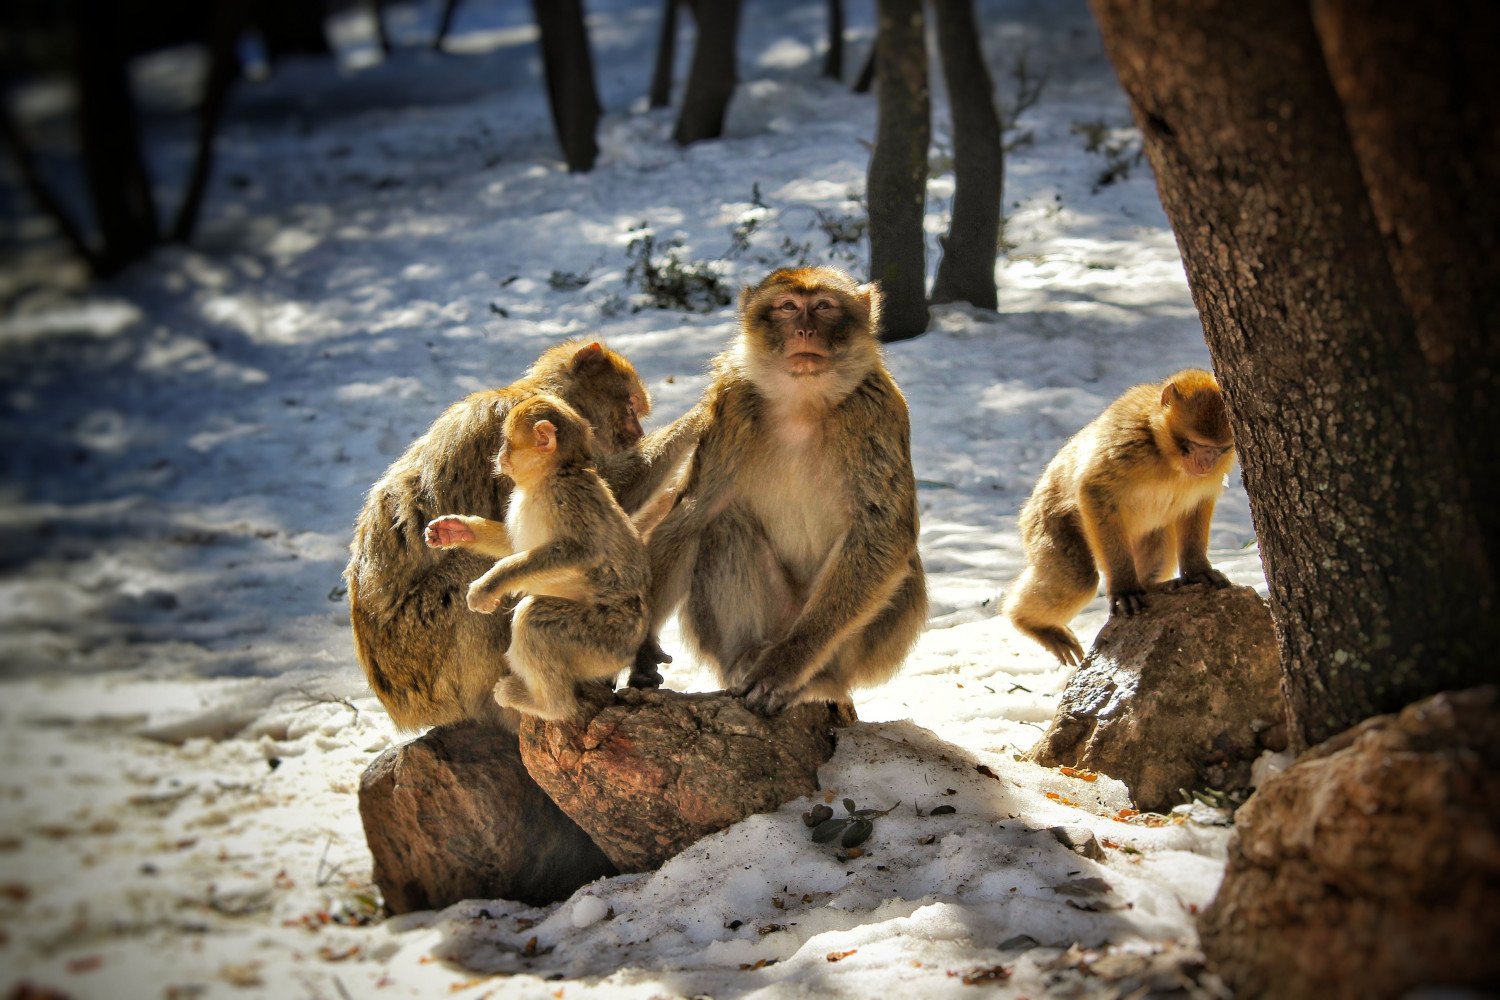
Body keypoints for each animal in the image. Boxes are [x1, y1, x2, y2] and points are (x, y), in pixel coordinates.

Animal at [429, 392, 651, 719]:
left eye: (507, 442)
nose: (499, 456)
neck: (549, 477)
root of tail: (630, 651)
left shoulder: (567, 498)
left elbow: (579, 552)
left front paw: (489, 585)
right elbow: (514, 546)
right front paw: (458, 530)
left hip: (604, 641)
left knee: (533, 620)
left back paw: (548, 705)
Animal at [645, 265, 924, 716]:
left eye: (824, 306)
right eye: (788, 307)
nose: (805, 331)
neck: (802, 403)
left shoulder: (875, 413)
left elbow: (882, 534)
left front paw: (784, 667)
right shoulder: (730, 407)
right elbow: (692, 515)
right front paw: (638, 647)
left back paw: (817, 681)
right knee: (723, 524)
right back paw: (745, 658)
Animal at [1002, 367, 1236, 665]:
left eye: (1219, 449)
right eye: (1195, 444)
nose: (1205, 464)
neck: (1163, 452)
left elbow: (1197, 504)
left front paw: (1196, 570)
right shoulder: (1128, 443)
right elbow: (1095, 491)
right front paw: (1124, 587)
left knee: (1159, 547)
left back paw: (1151, 586)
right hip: (1046, 520)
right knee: (1078, 580)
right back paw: (1030, 622)